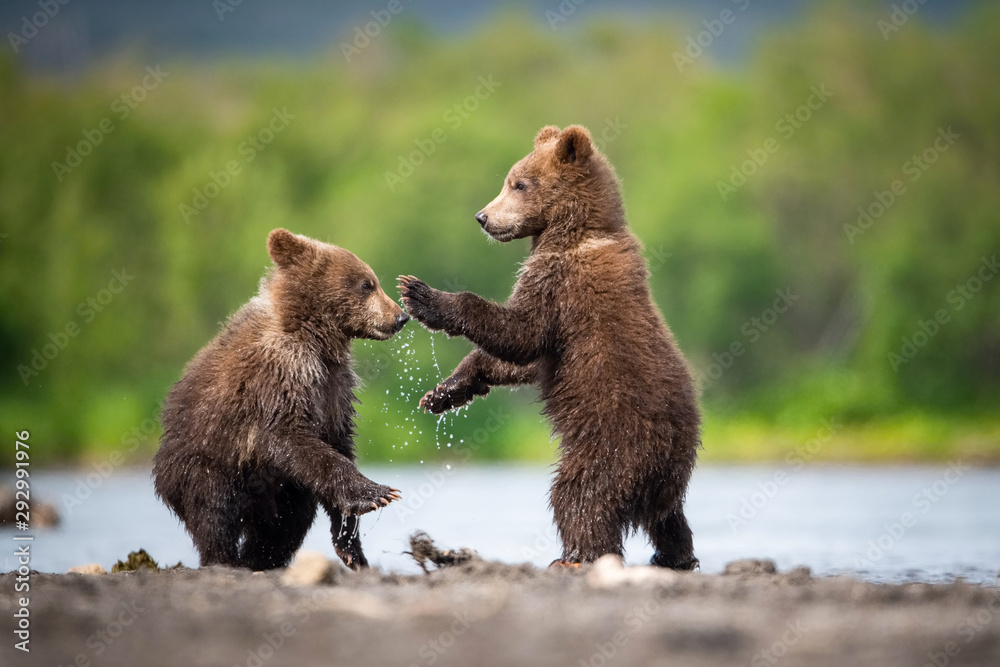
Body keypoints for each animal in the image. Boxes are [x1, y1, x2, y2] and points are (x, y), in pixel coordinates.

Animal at [154, 228, 408, 572]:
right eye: (366, 284)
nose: (400, 316)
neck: (314, 337)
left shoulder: (334, 388)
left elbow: (338, 441)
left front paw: (352, 549)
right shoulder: (281, 375)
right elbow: (287, 435)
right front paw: (377, 493)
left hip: (281, 489)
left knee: (286, 523)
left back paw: (259, 559)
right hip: (205, 461)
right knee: (213, 512)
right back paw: (224, 559)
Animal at [398, 125, 701, 569]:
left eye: (519, 184)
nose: (483, 217)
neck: (571, 233)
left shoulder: (560, 285)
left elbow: (521, 334)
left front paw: (421, 295)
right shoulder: (557, 315)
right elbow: (519, 358)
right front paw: (445, 392)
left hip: (611, 444)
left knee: (579, 496)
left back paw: (577, 555)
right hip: (668, 473)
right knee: (669, 518)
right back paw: (675, 556)